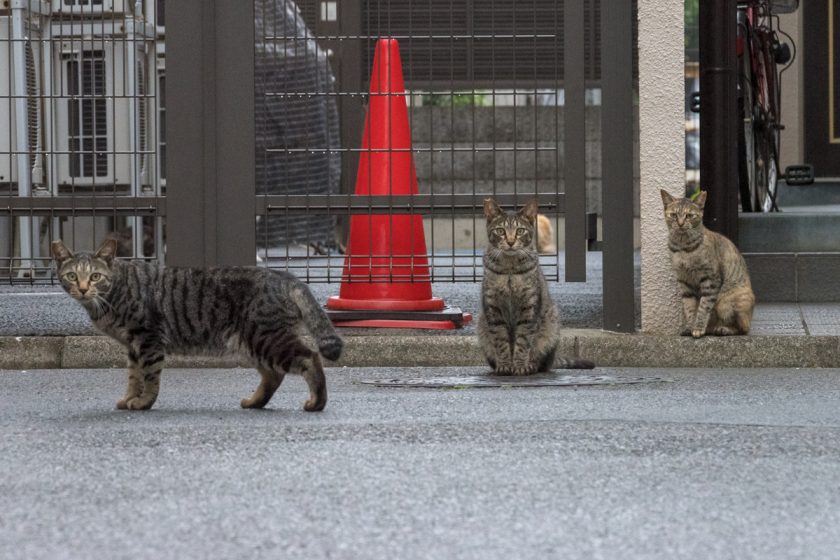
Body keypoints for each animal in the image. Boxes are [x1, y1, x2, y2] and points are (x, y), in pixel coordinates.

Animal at [51, 237, 342, 412]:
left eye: (96, 276)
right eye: (72, 276)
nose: (83, 288)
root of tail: (285, 276)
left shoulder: (148, 339)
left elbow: (150, 376)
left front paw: (144, 402)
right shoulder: (132, 346)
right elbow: (134, 376)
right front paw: (130, 398)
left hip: (267, 338)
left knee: (310, 357)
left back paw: (317, 402)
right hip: (252, 342)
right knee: (273, 374)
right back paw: (254, 402)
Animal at [476, 198, 592, 376]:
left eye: (520, 231)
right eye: (500, 231)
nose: (510, 242)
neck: (510, 269)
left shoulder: (529, 308)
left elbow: (523, 342)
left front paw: (519, 366)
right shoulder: (493, 309)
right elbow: (501, 342)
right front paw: (505, 365)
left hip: (551, 323)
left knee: (542, 363)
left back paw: (531, 365)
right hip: (482, 324)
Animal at [664, 188, 756, 336]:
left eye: (689, 215)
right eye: (673, 215)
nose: (680, 223)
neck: (683, 248)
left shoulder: (710, 280)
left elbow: (703, 307)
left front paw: (698, 328)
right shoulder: (684, 282)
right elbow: (690, 308)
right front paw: (691, 327)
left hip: (729, 302)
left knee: (743, 328)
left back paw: (723, 329)